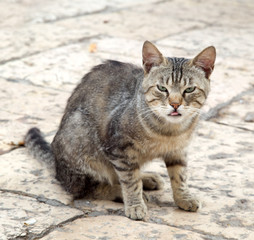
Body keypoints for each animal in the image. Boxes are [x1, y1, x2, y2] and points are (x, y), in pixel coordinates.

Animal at [24, 40, 215, 219]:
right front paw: (135, 204)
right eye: (162, 88)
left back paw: (146, 178)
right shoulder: (119, 150)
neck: (169, 131)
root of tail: (57, 165)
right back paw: (120, 191)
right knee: (86, 188)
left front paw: (184, 198)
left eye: (189, 89)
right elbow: (130, 181)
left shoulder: (178, 150)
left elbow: (180, 176)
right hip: (81, 140)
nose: (175, 104)